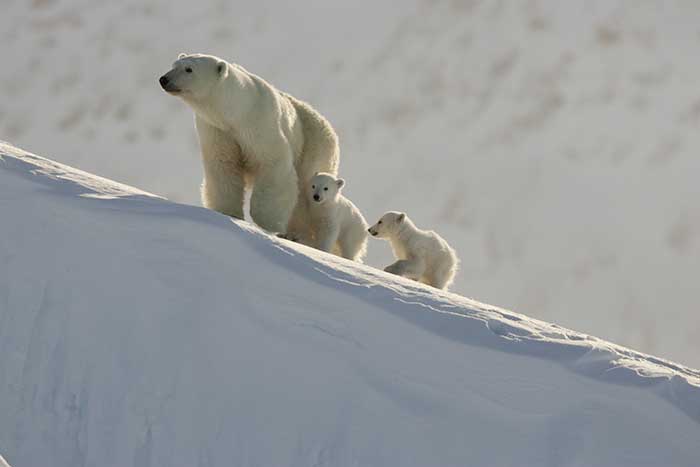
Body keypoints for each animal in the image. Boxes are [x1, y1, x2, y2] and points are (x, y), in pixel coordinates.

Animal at [159, 53, 340, 236]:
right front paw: (227, 212)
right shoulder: (217, 130)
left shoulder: (259, 124)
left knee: (305, 190)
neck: (237, 112)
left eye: (189, 69)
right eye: (174, 65)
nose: (164, 79)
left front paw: (268, 222)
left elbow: (272, 164)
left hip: (313, 147)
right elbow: (223, 165)